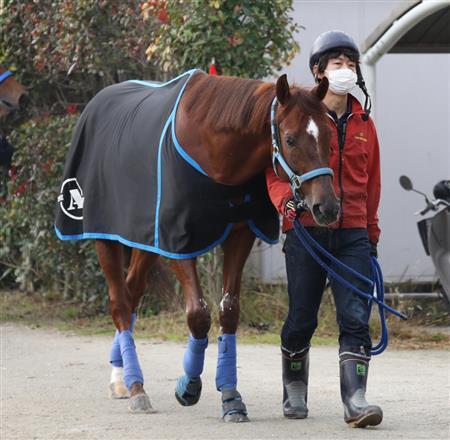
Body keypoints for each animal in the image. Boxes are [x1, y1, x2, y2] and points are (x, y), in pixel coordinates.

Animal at [61, 70, 340, 422]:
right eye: (290, 139)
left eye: (329, 136)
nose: (326, 207)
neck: (215, 154)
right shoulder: (176, 242)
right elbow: (197, 315)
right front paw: (188, 385)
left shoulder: (239, 234)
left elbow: (229, 311)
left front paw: (231, 396)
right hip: (105, 237)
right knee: (120, 302)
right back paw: (136, 386)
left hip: (143, 239)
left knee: (133, 290)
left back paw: (121, 377)